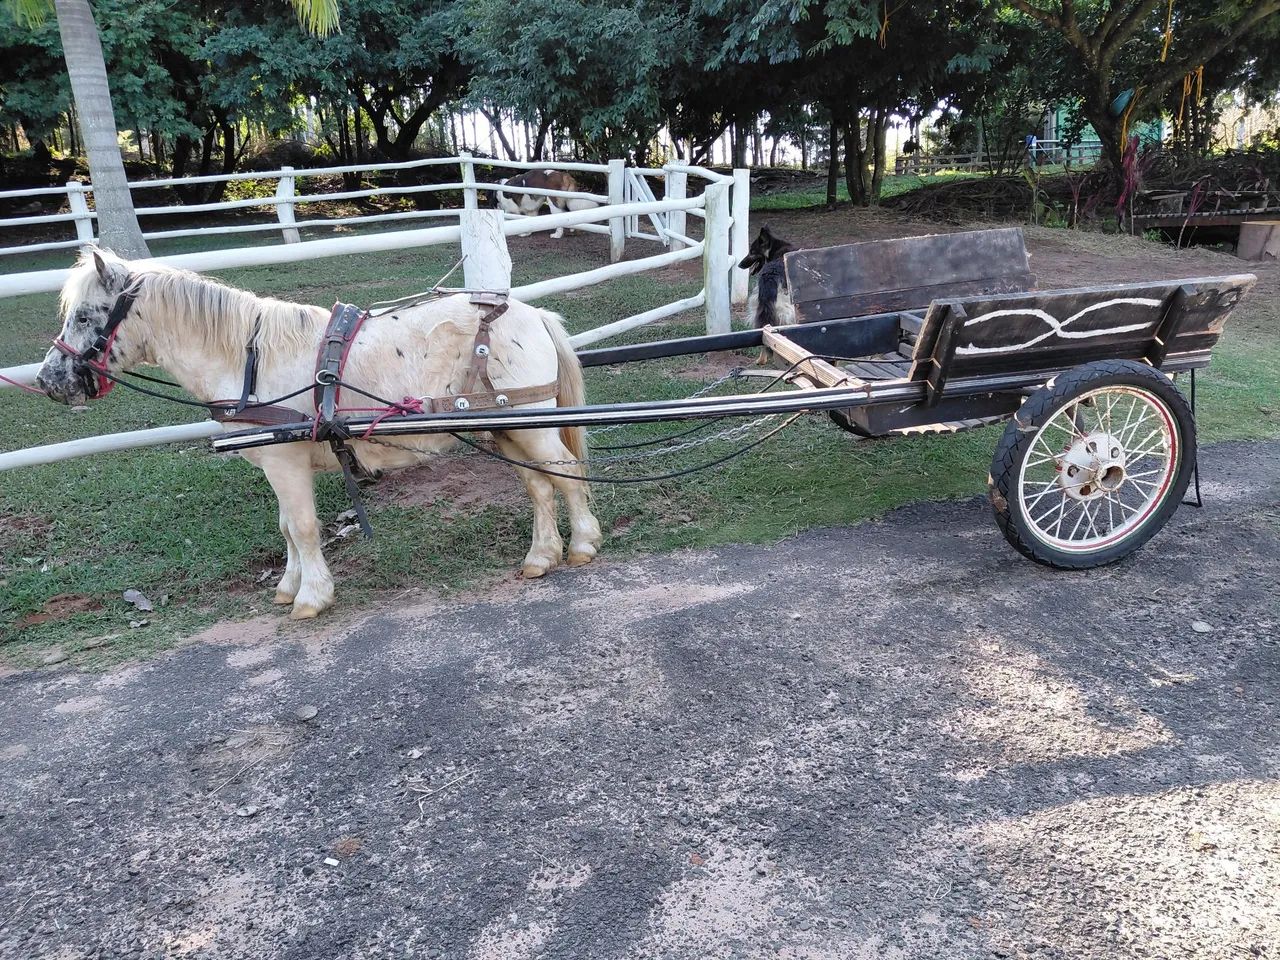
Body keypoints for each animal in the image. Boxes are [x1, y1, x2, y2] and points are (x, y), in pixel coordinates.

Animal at [35, 249, 603, 619]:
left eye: (85, 316)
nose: (48, 380)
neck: (248, 360)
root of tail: (532, 313)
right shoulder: (278, 462)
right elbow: (287, 528)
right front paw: (289, 587)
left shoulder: (285, 463)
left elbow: (304, 529)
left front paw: (312, 598)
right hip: (507, 425)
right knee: (539, 485)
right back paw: (541, 556)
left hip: (530, 422)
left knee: (565, 473)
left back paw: (582, 544)